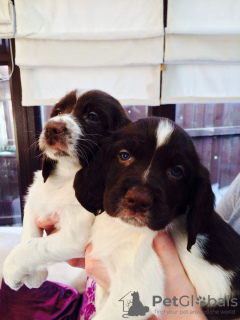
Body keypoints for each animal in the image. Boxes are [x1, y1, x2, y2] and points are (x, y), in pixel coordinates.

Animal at [2, 89, 130, 292]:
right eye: (58, 111)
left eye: (92, 116)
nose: (51, 128)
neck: (68, 175)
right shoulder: (35, 195)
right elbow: (29, 233)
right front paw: (35, 275)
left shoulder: (75, 234)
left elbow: (35, 247)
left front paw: (11, 271)